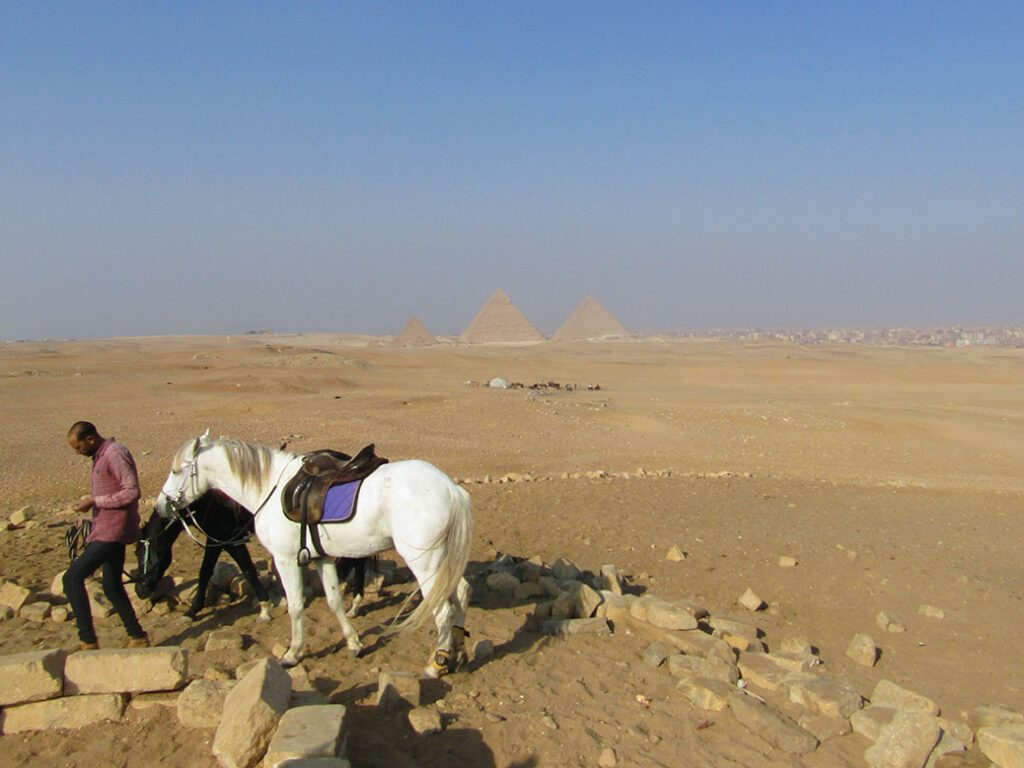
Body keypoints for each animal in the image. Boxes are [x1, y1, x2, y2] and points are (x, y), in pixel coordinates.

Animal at [136, 493, 374, 626]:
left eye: (140, 553)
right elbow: (239, 570)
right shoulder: (224, 541)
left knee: (360, 561)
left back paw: (355, 604)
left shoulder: (225, 540)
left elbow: (218, 572)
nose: (140, 590)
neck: (206, 502)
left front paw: (191, 611)